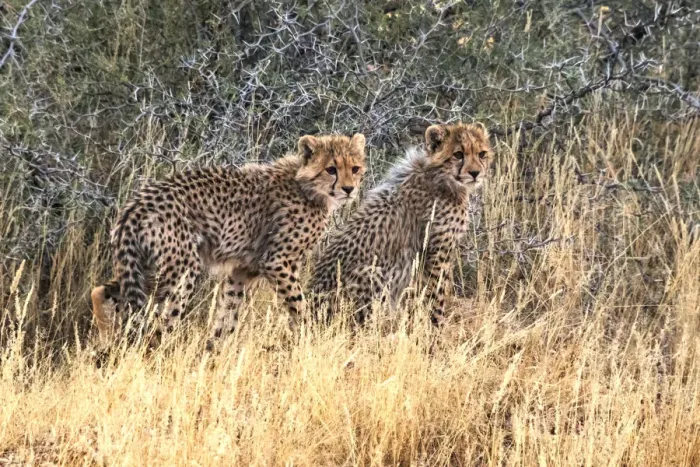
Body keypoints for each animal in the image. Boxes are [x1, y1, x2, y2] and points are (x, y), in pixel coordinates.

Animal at [90, 133, 367, 347]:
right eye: (331, 169)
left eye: (355, 168)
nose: (349, 189)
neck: (306, 188)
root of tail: (136, 204)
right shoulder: (277, 262)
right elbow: (299, 306)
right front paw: (311, 338)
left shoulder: (243, 270)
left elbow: (228, 314)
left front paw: (213, 350)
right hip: (182, 270)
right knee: (161, 322)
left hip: (146, 265)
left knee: (103, 290)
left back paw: (105, 338)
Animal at [309, 123, 493, 325]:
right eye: (458, 154)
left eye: (481, 154)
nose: (475, 173)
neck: (440, 177)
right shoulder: (436, 252)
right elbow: (436, 293)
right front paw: (437, 324)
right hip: (372, 273)